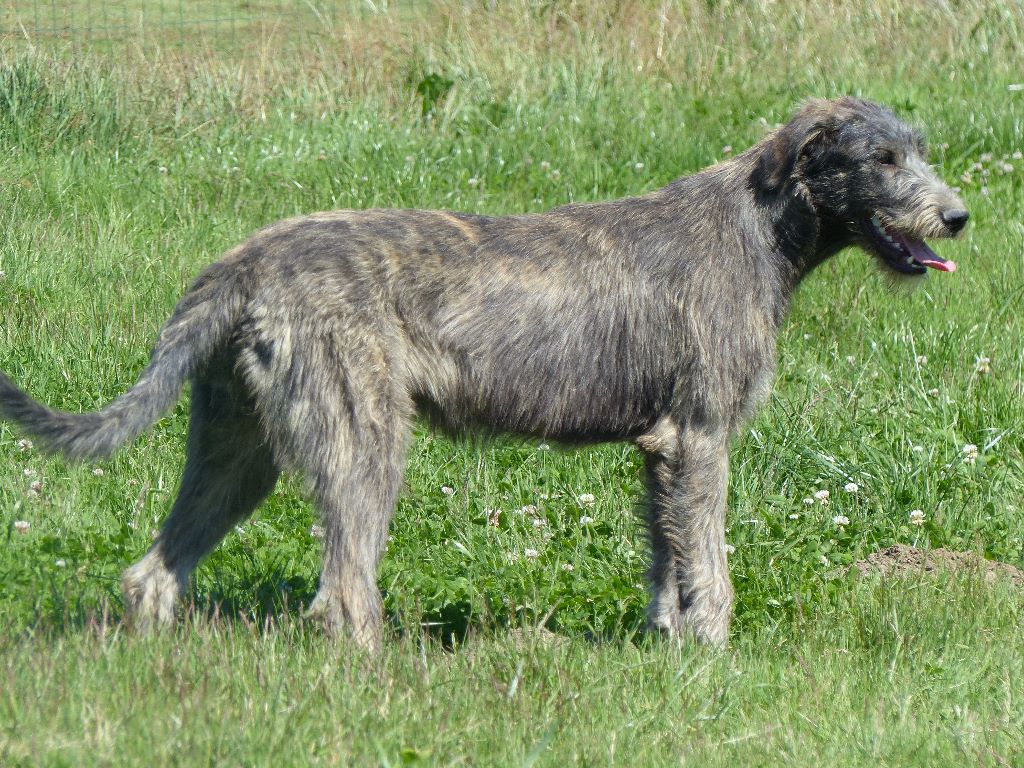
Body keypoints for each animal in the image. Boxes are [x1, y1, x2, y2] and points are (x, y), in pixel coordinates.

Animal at [2, 96, 966, 651]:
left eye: (918, 148)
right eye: (882, 160)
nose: (957, 216)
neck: (760, 228)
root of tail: (242, 263)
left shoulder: (659, 446)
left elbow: (666, 553)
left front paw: (666, 644)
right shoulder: (700, 435)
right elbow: (710, 558)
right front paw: (714, 657)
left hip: (238, 445)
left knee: (155, 570)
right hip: (363, 437)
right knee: (342, 589)